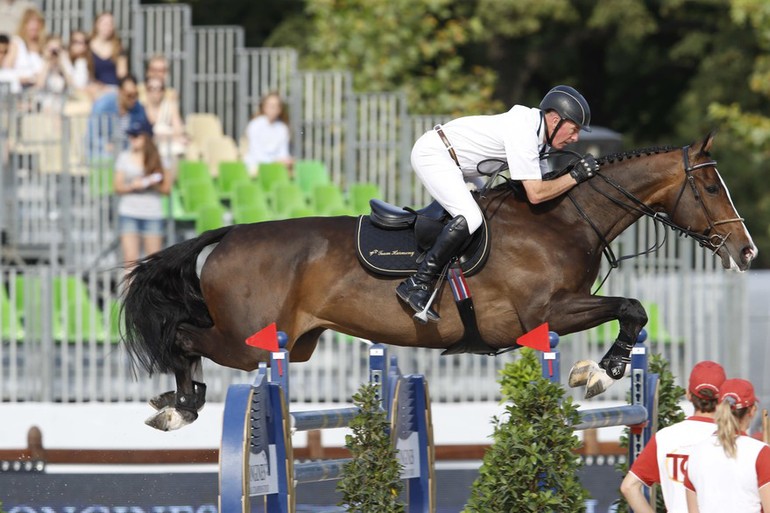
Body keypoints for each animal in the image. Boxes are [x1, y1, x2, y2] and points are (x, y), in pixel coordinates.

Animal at [123, 133, 752, 432]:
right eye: (711, 187)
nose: (746, 250)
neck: (562, 219)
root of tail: (229, 233)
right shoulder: (547, 313)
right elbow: (633, 308)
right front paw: (599, 373)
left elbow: (631, 310)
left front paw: (598, 370)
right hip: (250, 342)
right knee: (183, 336)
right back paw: (180, 405)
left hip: (294, 346)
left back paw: (177, 403)